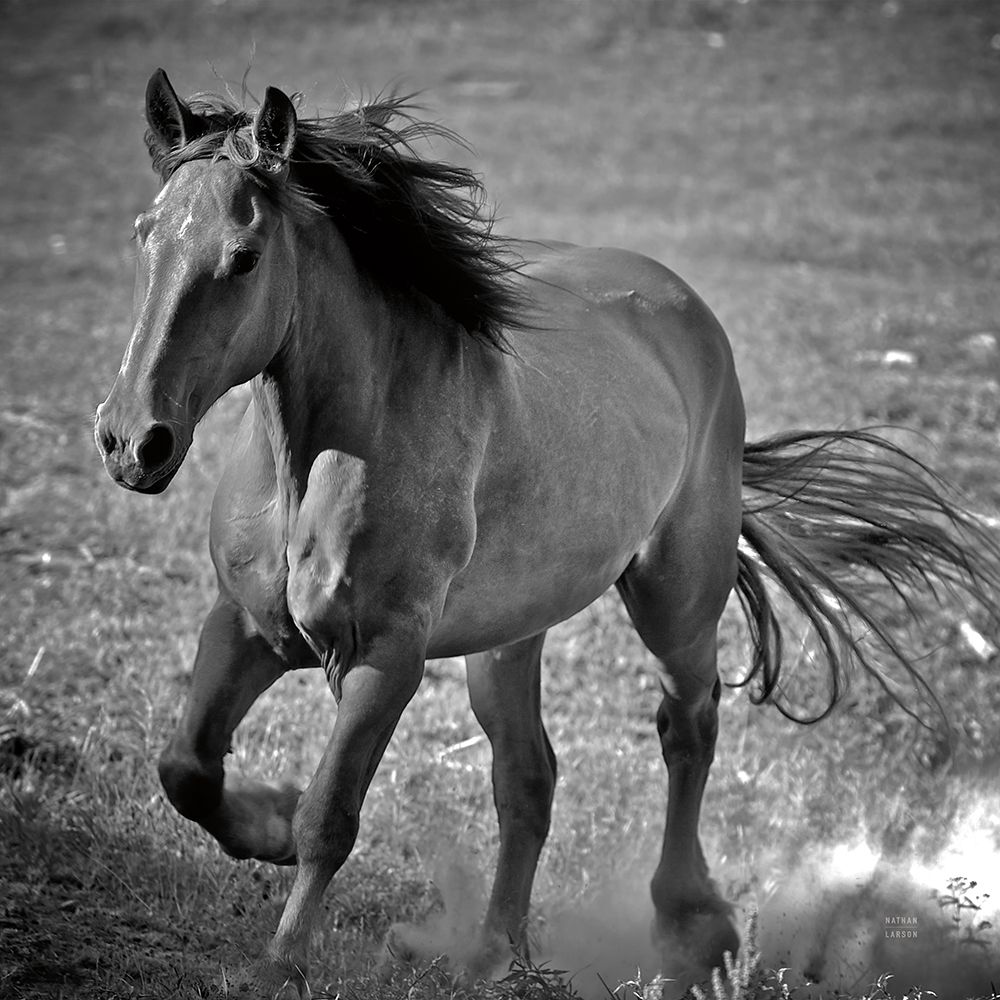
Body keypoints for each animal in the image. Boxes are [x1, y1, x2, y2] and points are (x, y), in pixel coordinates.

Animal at [94, 70, 1000, 996]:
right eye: (143, 234)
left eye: (244, 257)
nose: (134, 442)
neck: (318, 462)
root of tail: (684, 309)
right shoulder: (247, 625)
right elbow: (187, 767)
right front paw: (267, 825)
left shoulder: (387, 658)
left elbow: (331, 816)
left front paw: (282, 961)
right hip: (508, 638)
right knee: (528, 776)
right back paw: (496, 954)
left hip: (675, 600)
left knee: (688, 727)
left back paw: (690, 930)